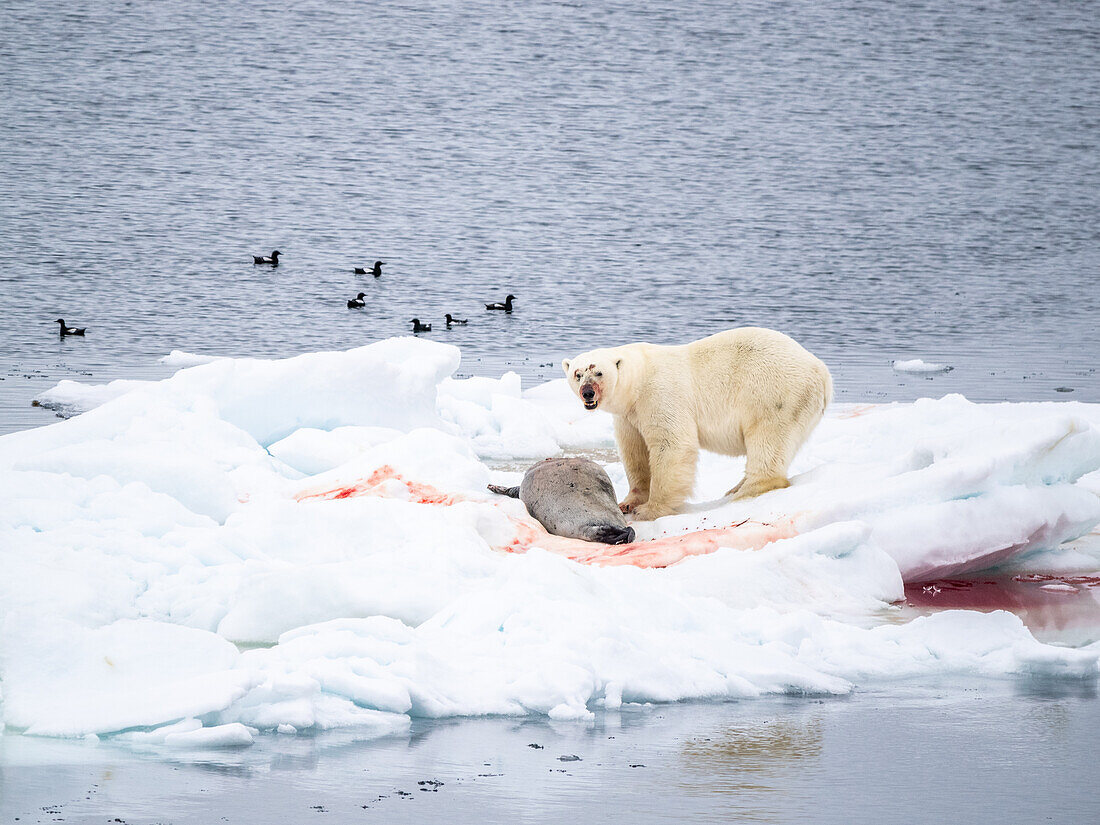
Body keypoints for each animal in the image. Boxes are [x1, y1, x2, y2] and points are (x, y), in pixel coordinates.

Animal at [563, 325, 827, 519]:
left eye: (598, 372)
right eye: (578, 374)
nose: (588, 393)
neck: (638, 381)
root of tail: (823, 373)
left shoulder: (659, 394)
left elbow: (672, 444)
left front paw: (649, 510)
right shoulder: (629, 415)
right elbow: (634, 451)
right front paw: (628, 503)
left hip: (774, 393)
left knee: (767, 438)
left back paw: (744, 492)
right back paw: (736, 488)